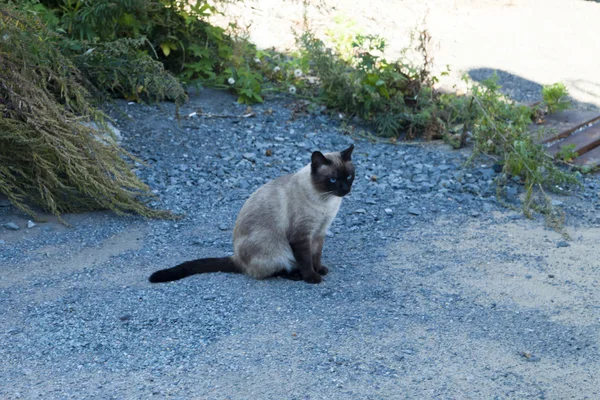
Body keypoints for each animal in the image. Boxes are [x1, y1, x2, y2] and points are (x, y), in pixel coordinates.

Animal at [149, 144, 354, 284]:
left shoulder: (319, 232)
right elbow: (305, 259)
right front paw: (312, 277)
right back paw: (296, 275)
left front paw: (320, 269)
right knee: (273, 270)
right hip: (276, 247)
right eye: (333, 180)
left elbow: (316, 255)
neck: (326, 202)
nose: (345, 189)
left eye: (349, 176)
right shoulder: (301, 236)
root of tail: (236, 258)